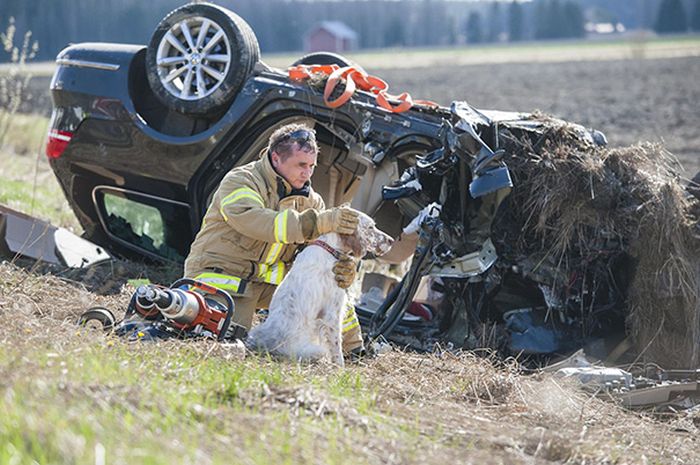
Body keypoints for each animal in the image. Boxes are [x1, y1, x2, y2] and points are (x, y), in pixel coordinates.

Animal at [245, 211, 394, 366]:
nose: (392, 240)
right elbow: (336, 347)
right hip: (316, 350)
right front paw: (340, 368)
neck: (330, 249)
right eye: (370, 227)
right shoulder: (332, 313)